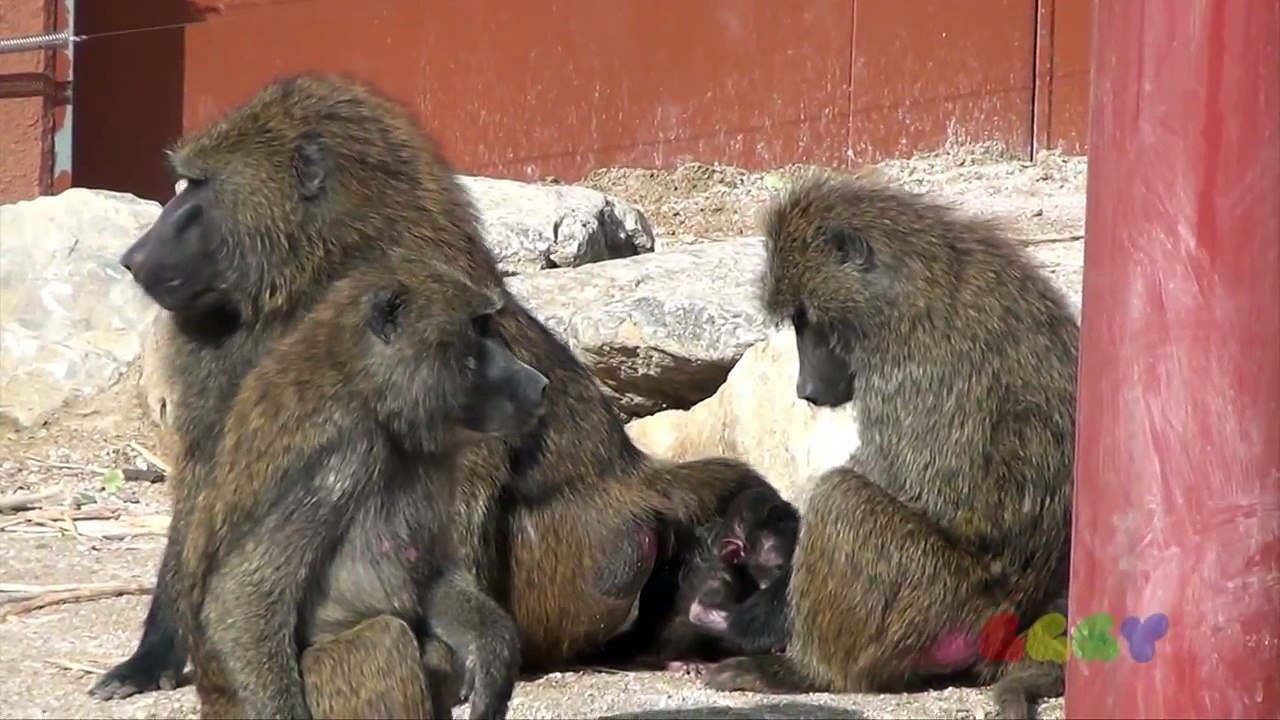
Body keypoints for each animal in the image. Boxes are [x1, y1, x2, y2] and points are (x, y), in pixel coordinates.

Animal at [178, 257, 545, 719]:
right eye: (479, 328)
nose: (539, 383)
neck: (367, 389)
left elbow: (427, 574)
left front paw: (493, 650)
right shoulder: (343, 454)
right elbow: (239, 594)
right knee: (385, 642)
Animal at [701, 170, 1077, 703]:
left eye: (806, 318)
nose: (805, 389)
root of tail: (1019, 621)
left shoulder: (913, 364)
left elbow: (917, 489)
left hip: (939, 601)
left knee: (840, 498)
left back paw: (804, 673)